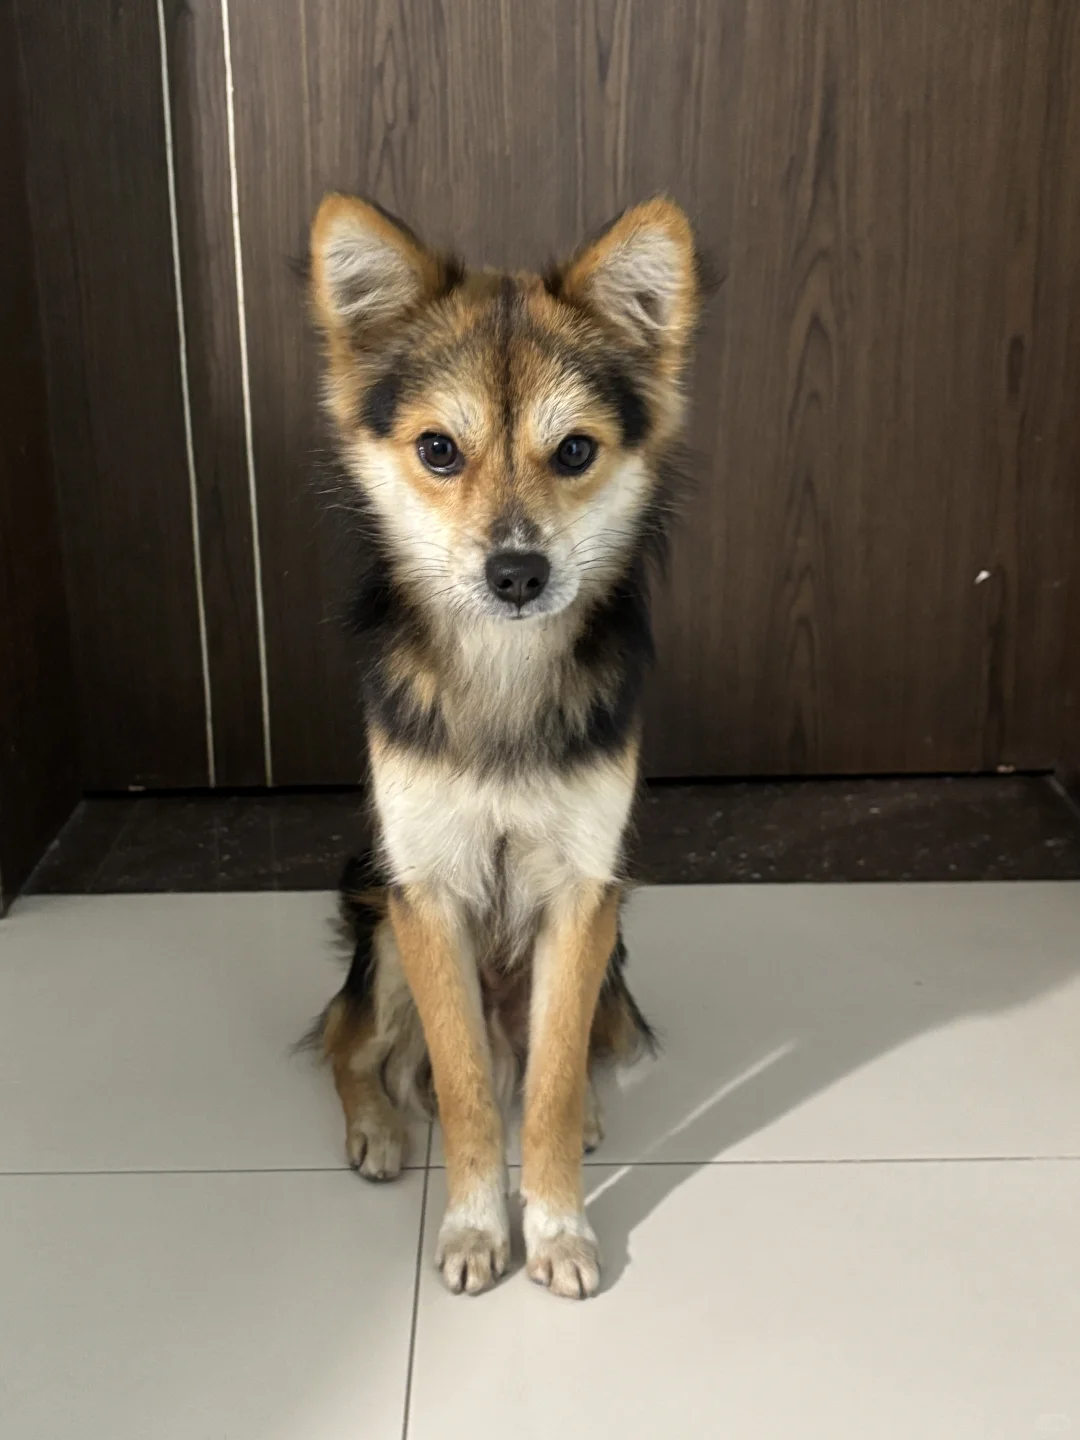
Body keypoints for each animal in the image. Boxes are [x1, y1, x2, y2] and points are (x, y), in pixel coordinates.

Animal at [305, 193, 703, 1298]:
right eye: (440, 451)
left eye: (574, 453)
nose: (517, 574)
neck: (503, 671)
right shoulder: (426, 892)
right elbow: (469, 1091)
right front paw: (478, 1227)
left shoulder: (582, 893)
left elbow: (551, 1084)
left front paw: (559, 1227)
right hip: (382, 927)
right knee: (351, 1041)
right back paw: (377, 1128)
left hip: (608, 960)